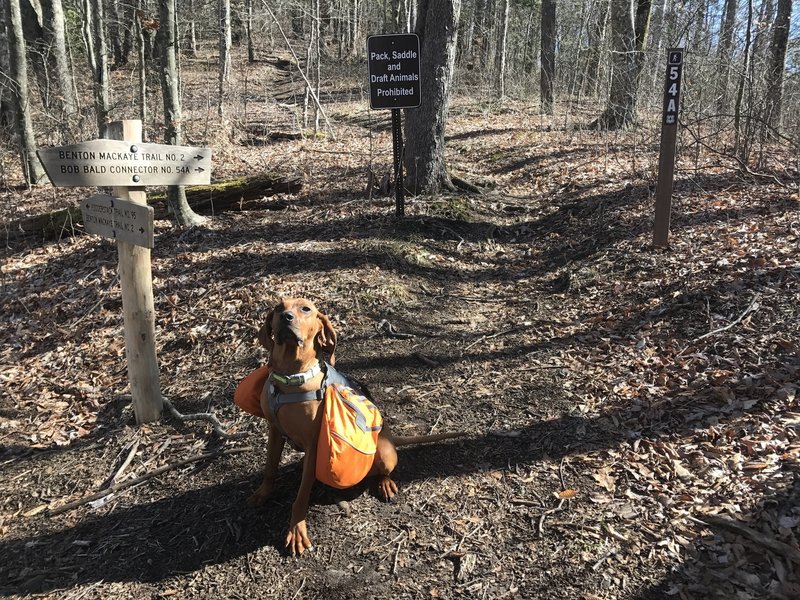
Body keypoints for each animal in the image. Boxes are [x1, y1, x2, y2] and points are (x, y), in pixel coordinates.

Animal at [239, 298, 462, 556]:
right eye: (278, 308)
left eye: (306, 309)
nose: (286, 317)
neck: (290, 376)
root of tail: (390, 437)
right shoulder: (274, 431)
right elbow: (269, 468)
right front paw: (263, 493)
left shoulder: (313, 443)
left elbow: (302, 494)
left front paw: (296, 528)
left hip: (384, 454)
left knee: (383, 470)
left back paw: (384, 483)